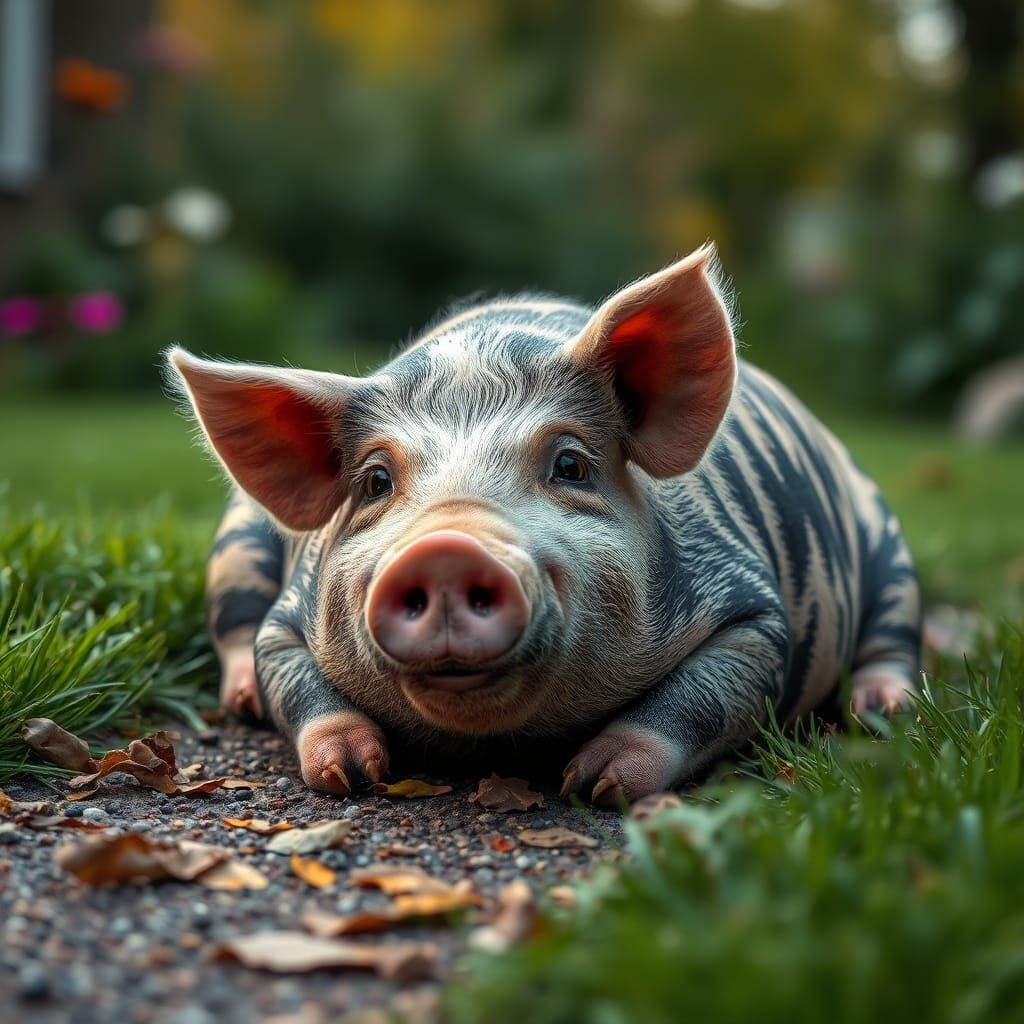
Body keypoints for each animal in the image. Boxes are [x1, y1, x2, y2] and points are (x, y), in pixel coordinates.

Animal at [166, 244, 921, 804]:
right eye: (377, 481)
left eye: (570, 465)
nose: (446, 547)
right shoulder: (290, 614)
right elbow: (294, 682)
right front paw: (350, 775)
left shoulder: (750, 609)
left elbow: (700, 699)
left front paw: (594, 784)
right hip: (237, 540)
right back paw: (243, 703)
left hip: (887, 538)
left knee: (894, 634)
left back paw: (886, 711)